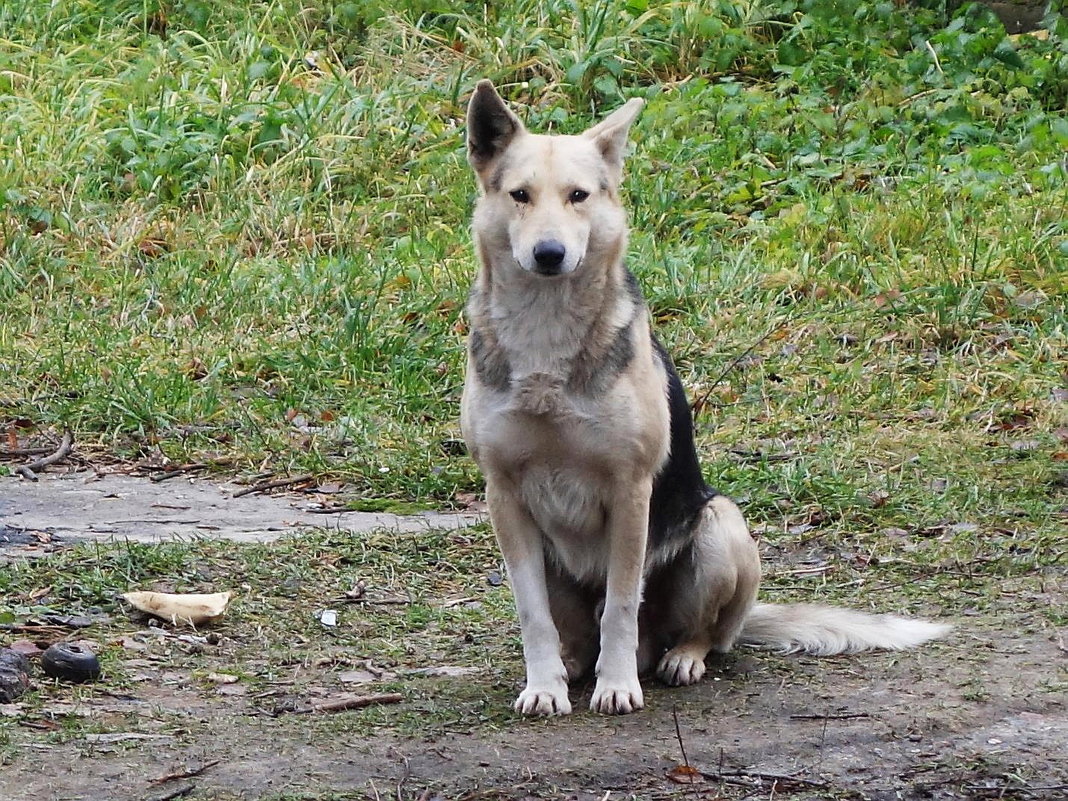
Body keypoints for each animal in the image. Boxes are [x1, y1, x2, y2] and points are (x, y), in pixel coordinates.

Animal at [459, 81, 952, 717]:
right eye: (520, 195)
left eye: (578, 196)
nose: (549, 253)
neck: (546, 335)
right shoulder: (504, 495)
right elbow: (532, 613)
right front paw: (543, 686)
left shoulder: (631, 492)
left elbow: (622, 604)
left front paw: (617, 685)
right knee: (577, 632)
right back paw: (571, 667)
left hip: (722, 527)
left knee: (698, 632)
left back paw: (676, 659)